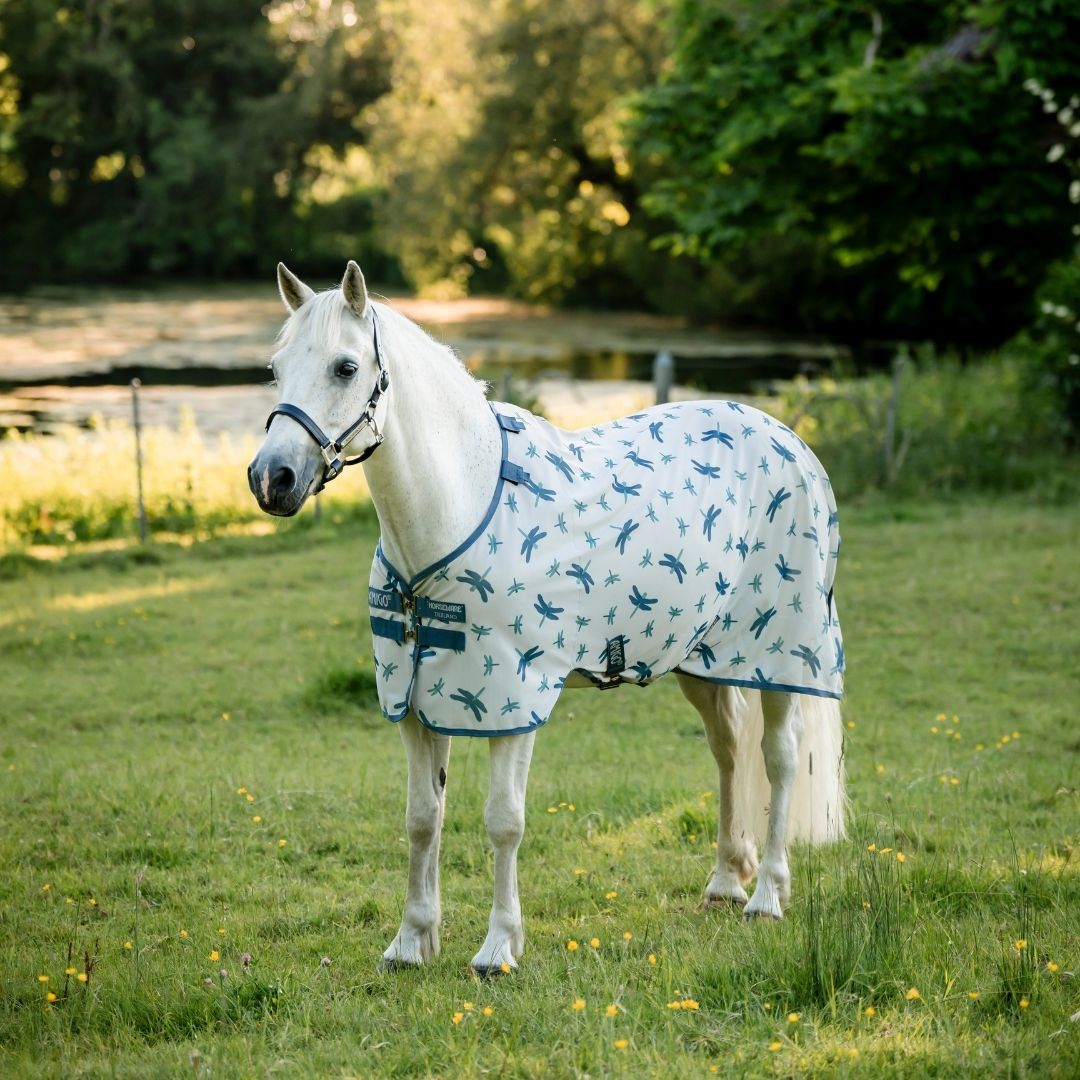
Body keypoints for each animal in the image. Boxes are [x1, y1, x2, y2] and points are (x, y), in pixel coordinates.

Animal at [248, 261, 846, 975]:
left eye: (344, 367)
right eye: (276, 368)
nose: (272, 478)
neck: (461, 507)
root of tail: (786, 437)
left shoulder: (514, 699)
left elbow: (503, 820)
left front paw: (498, 948)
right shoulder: (416, 702)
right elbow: (422, 817)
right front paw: (411, 942)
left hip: (781, 657)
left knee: (778, 759)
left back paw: (768, 896)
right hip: (703, 659)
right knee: (729, 751)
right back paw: (727, 882)